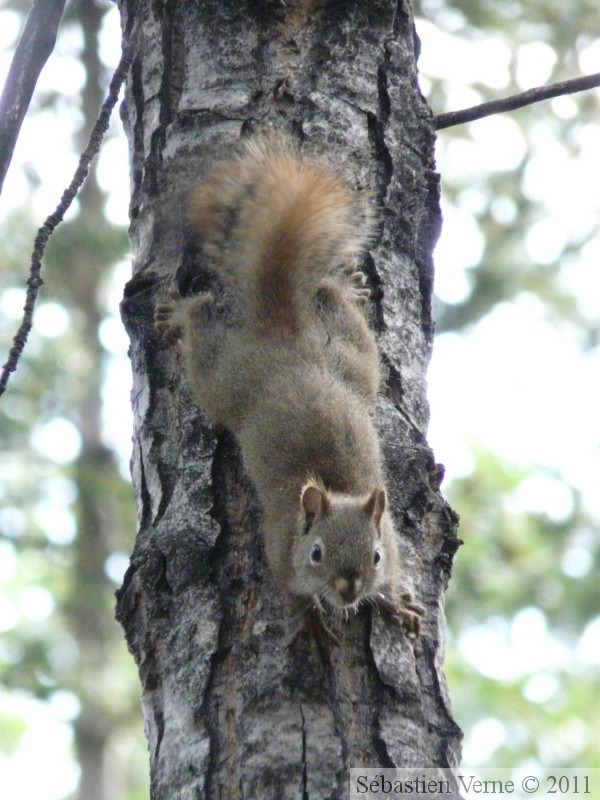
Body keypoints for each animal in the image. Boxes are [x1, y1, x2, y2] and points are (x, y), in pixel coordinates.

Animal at [156, 134, 426, 648]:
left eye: (376, 556)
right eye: (316, 553)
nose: (347, 589)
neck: (338, 489)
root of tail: (285, 336)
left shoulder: (393, 540)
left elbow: (389, 585)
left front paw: (392, 602)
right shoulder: (280, 549)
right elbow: (292, 592)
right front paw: (314, 622)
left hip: (354, 358)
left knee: (335, 304)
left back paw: (343, 285)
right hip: (224, 379)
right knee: (201, 324)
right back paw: (180, 313)